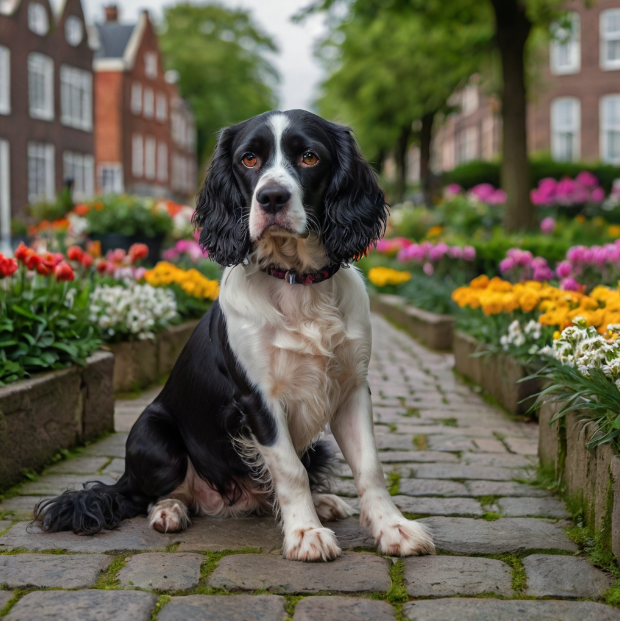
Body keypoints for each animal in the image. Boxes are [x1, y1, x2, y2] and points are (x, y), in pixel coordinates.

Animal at [32, 111, 432, 560]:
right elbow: (290, 470)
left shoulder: (352, 387)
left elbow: (368, 467)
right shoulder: (257, 399)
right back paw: (169, 510)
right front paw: (305, 534)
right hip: (153, 433)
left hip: (316, 445)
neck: (297, 285)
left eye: (310, 157)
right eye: (249, 159)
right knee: (145, 494)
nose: (271, 198)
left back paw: (325, 502)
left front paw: (392, 528)